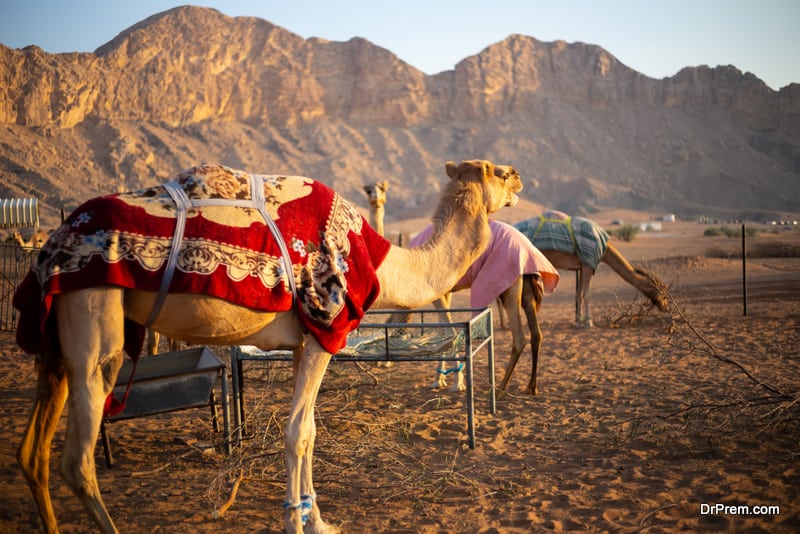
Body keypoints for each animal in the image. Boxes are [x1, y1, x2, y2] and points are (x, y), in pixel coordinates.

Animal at [14, 159, 524, 534]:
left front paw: (318, 521)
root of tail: (51, 245)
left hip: (54, 348)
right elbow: (298, 432)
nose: (519, 177)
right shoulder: (325, 328)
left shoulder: (304, 342)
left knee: (33, 453)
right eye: (498, 172)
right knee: (76, 460)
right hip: (93, 319)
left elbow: (310, 431)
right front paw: (297, 523)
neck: (384, 261)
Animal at [410, 220, 560, 396]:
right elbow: (443, 331)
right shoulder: (445, 291)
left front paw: (457, 384)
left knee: (519, 337)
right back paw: (531, 387)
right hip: (527, 288)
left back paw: (500, 388)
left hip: (508, 283)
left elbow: (449, 330)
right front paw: (439, 381)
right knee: (537, 334)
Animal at [512, 211, 668, 328]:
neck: (605, 248)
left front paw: (579, 322)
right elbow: (587, 294)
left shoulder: (582, 266)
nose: (666, 307)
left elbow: (579, 294)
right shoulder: (588, 263)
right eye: (663, 291)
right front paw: (589, 322)